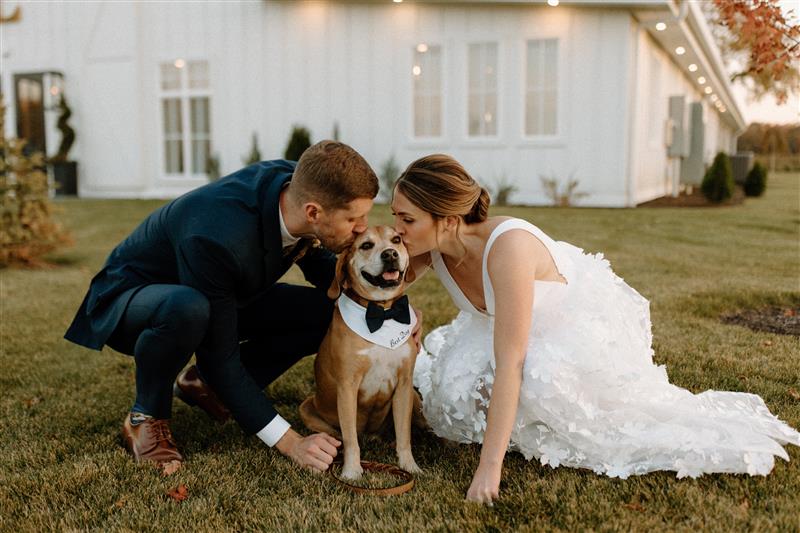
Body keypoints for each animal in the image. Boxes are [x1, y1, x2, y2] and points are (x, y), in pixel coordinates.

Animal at [300, 224, 422, 478]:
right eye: (366, 245)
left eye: (397, 240)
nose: (390, 254)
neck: (382, 311)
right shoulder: (347, 386)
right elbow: (350, 439)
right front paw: (352, 471)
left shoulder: (405, 385)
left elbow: (404, 435)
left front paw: (409, 466)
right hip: (307, 407)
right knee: (340, 435)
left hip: (415, 399)